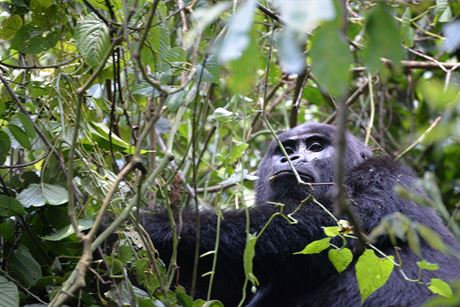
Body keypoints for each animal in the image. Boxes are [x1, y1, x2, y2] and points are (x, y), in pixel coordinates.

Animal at [142, 123, 458, 307]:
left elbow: (324, 231)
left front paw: (159, 227)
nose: (289, 158)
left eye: (316, 147)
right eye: (287, 148)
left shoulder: (386, 177)